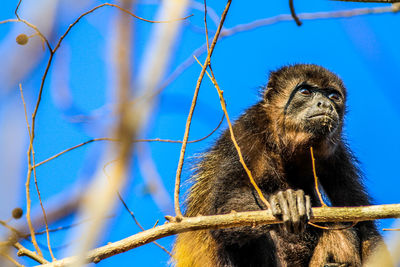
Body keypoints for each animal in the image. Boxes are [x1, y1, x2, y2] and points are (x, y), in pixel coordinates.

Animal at [172, 63, 388, 266]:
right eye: (305, 91)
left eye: (334, 96)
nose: (325, 104)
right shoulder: (244, 134)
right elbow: (223, 211)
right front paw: (285, 202)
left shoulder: (336, 153)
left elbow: (364, 225)